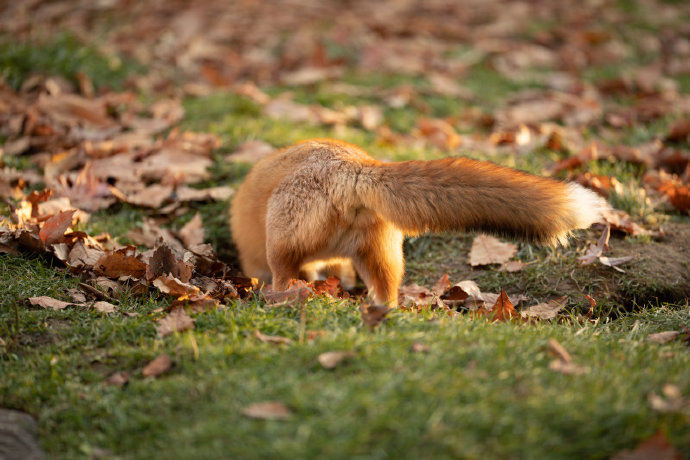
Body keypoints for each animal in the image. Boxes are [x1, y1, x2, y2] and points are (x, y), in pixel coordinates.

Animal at [228, 138, 604, 308]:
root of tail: (354, 166)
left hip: (280, 246)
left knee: (283, 277)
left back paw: (276, 297)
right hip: (380, 255)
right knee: (387, 290)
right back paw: (385, 311)